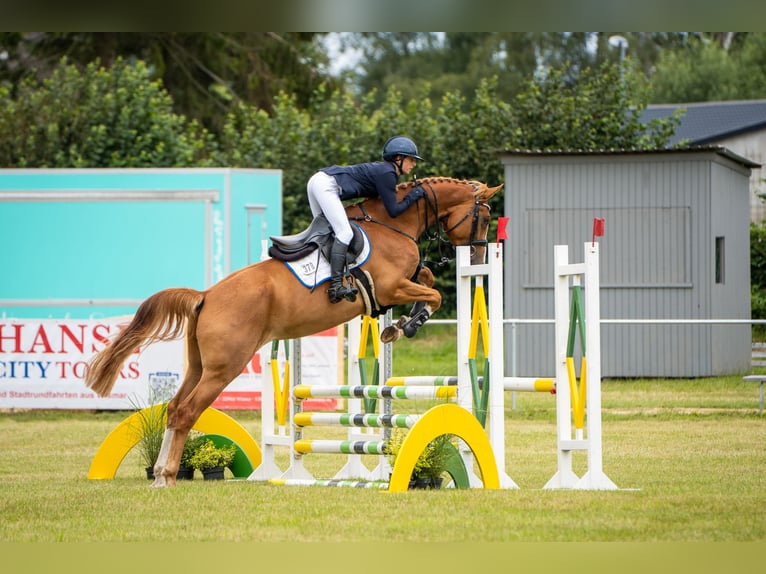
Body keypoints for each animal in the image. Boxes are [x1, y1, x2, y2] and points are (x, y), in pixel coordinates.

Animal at [85, 176, 502, 487]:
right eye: (484, 217)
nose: (479, 256)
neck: (394, 222)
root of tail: (206, 296)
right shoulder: (390, 288)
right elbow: (433, 293)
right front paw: (405, 326)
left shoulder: (399, 285)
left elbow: (428, 280)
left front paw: (398, 326)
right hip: (224, 367)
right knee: (188, 411)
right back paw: (168, 476)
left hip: (200, 365)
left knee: (174, 408)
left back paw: (159, 472)